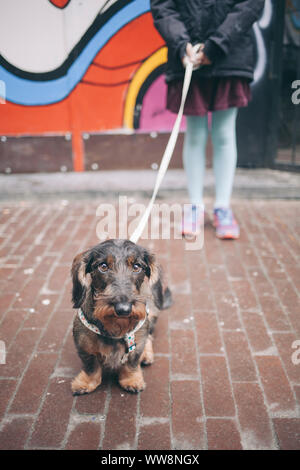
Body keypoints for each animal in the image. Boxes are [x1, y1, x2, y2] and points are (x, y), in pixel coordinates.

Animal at [68, 241, 171, 394]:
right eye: (103, 266)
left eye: (136, 267)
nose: (123, 309)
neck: (115, 327)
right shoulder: (84, 346)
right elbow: (91, 366)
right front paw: (86, 383)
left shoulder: (136, 343)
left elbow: (131, 363)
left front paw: (131, 380)